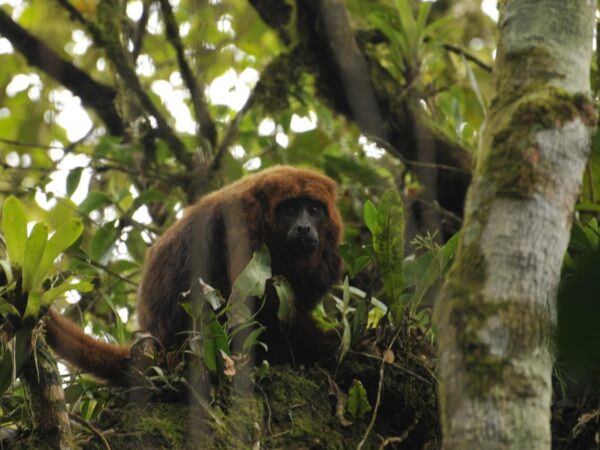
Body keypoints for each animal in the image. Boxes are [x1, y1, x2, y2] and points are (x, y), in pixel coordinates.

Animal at [45, 167, 342, 384]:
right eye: (290, 210)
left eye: (314, 210)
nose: (304, 227)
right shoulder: (245, 229)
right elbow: (256, 307)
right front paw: (329, 345)